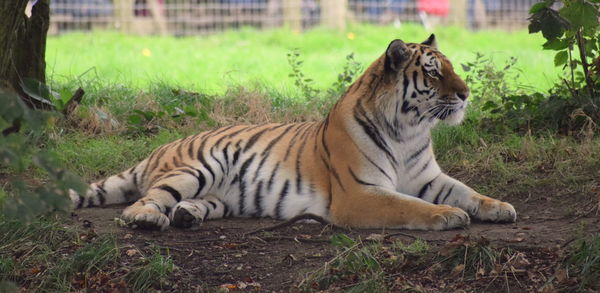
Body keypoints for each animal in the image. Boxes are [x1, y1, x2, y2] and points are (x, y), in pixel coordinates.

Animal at [70, 34, 516, 230]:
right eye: (433, 72)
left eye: (452, 67)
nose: (466, 94)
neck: (409, 131)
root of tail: (160, 148)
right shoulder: (359, 194)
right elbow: (410, 206)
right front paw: (447, 216)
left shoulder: (428, 178)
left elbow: (467, 191)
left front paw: (499, 207)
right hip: (195, 169)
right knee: (140, 203)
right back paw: (149, 219)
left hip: (219, 196)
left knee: (190, 204)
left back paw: (186, 216)